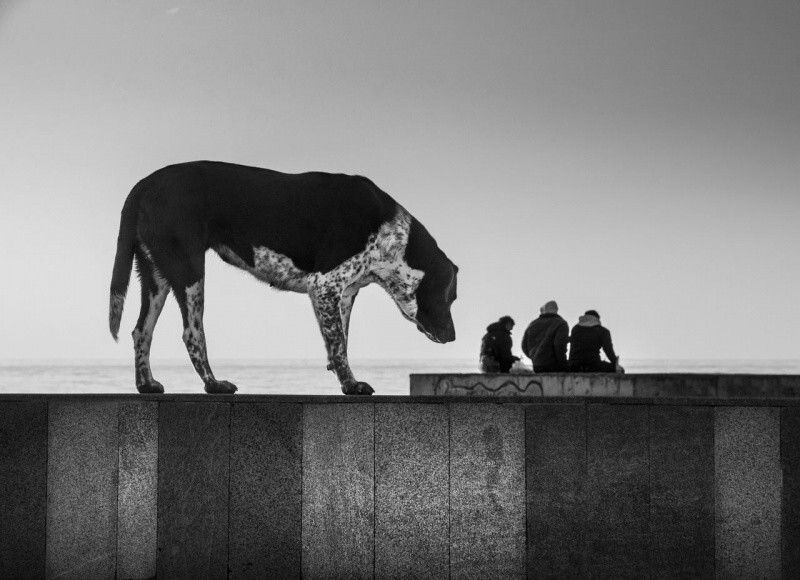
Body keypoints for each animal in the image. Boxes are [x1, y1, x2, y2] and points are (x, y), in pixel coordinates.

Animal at [109, 162, 460, 394]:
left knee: (141, 331)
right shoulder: (325, 286)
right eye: (450, 296)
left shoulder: (345, 293)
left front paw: (343, 376)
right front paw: (350, 384)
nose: (453, 337)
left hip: (157, 276)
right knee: (192, 334)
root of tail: (145, 184)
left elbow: (340, 340)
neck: (391, 234)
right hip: (190, 271)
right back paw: (213, 384)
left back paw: (146, 384)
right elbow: (338, 344)